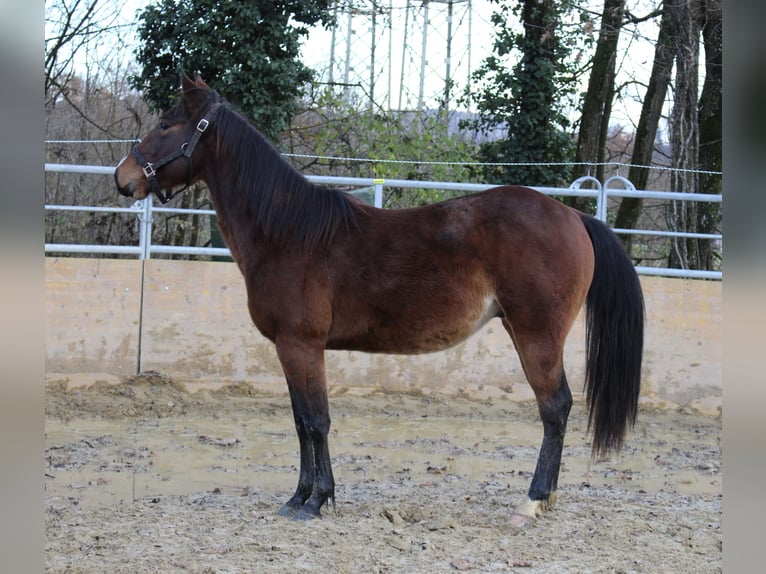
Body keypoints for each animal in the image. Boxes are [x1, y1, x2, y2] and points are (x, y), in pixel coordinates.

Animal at [114, 74, 644, 528]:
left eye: (166, 124)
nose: (123, 177)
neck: (287, 232)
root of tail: (574, 217)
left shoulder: (301, 345)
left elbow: (316, 421)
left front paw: (316, 500)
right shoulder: (291, 349)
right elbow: (300, 421)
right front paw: (298, 497)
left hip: (537, 335)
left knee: (555, 408)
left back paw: (532, 502)